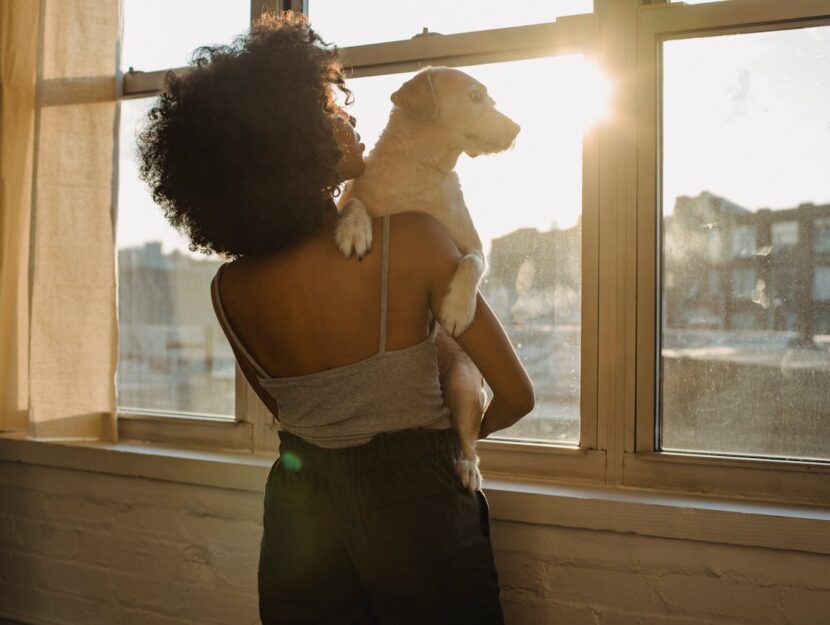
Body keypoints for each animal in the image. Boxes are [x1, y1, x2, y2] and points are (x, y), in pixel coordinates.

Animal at [336, 64, 520, 492]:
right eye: (475, 97)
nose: (517, 128)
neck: (420, 168)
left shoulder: (473, 246)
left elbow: (471, 263)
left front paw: (456, 310)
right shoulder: (353, 198)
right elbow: (354, 204)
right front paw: (354, 230)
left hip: (465, 387)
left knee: (468, 443)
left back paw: (468, 469)